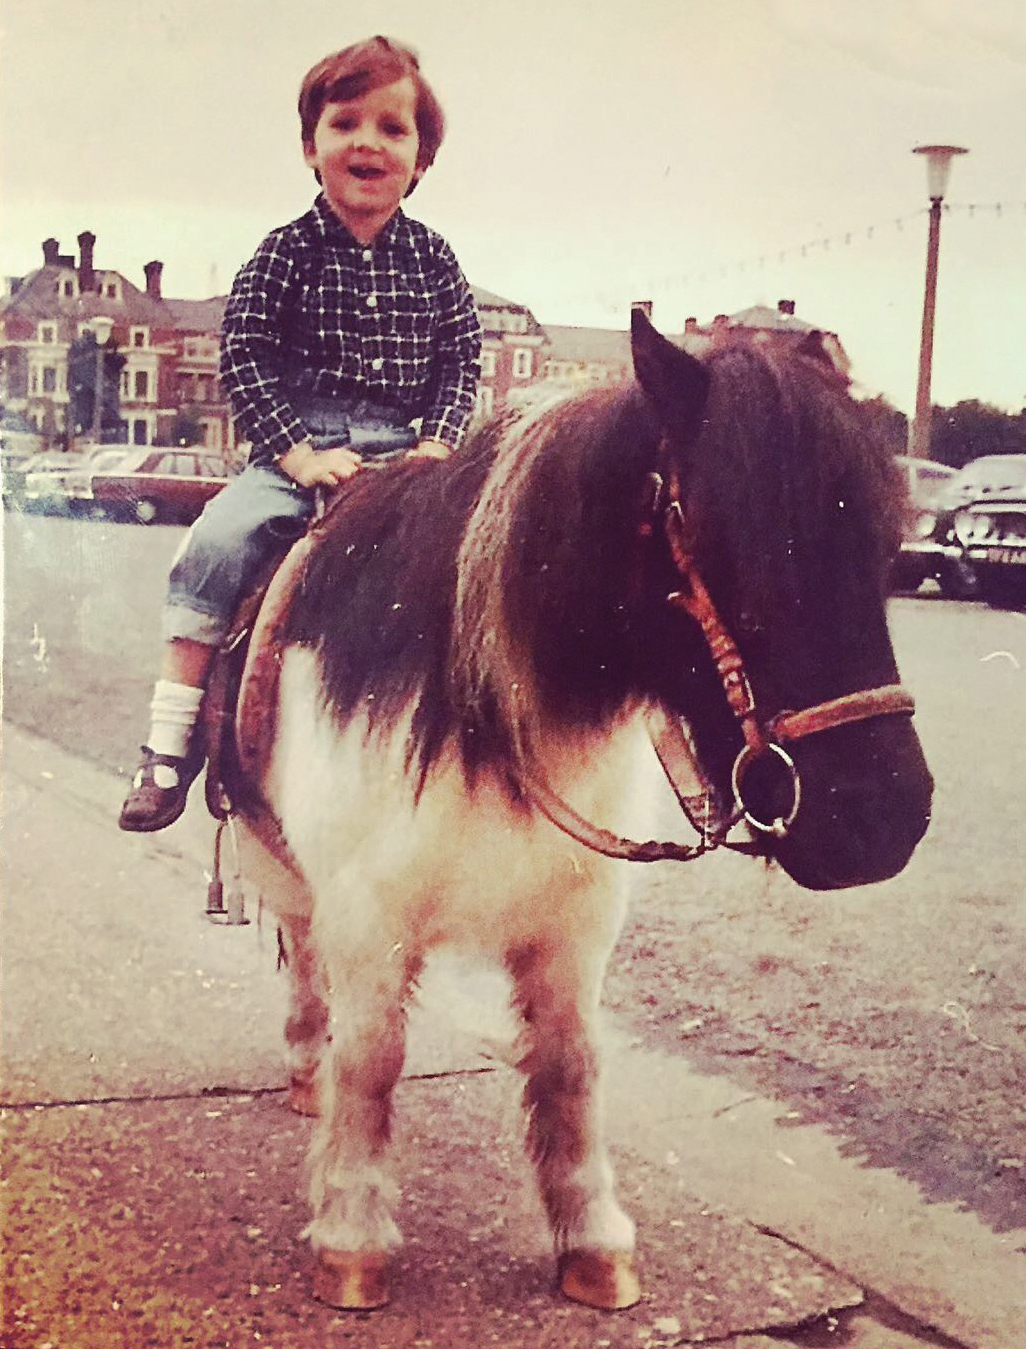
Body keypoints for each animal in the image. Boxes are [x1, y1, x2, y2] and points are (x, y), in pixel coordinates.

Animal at [227, 312, 932, 1305]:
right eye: (732, 547)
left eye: (885, 553)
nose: (885, 818)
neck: (480, 707)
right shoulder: (371, 918)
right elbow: (372, 1059)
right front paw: (353, 1236)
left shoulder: (572, 924)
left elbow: (571, 1065)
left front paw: (593, 1242)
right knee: (301, 948)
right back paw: (305, 1066)